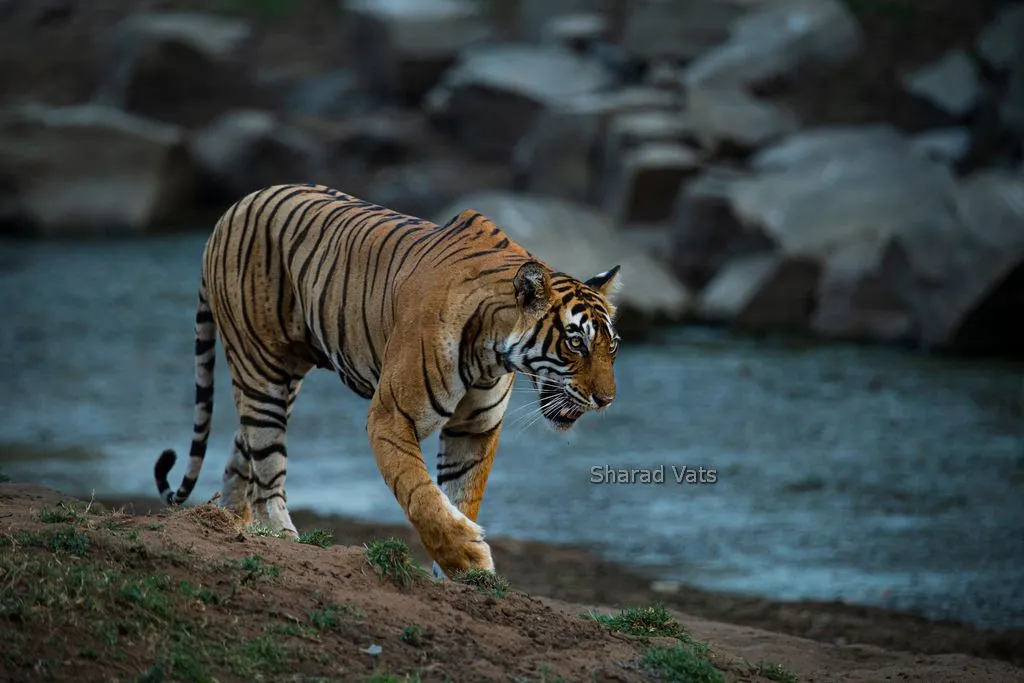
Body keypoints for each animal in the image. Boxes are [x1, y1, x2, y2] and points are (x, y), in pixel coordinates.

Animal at [154, 184, 618, 581]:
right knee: (267, 465)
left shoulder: (475, 429)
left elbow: (461, 495)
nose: (607, 400)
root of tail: (231, 209)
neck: (492, 352)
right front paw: (469, 557)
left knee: (242, 448)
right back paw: (282, 536)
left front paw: (460, 578)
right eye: (576, 343)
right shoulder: (391, 415)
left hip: (284, 378)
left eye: (611, 346)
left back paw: (232, 526)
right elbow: (420, 493)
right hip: (260, 367)